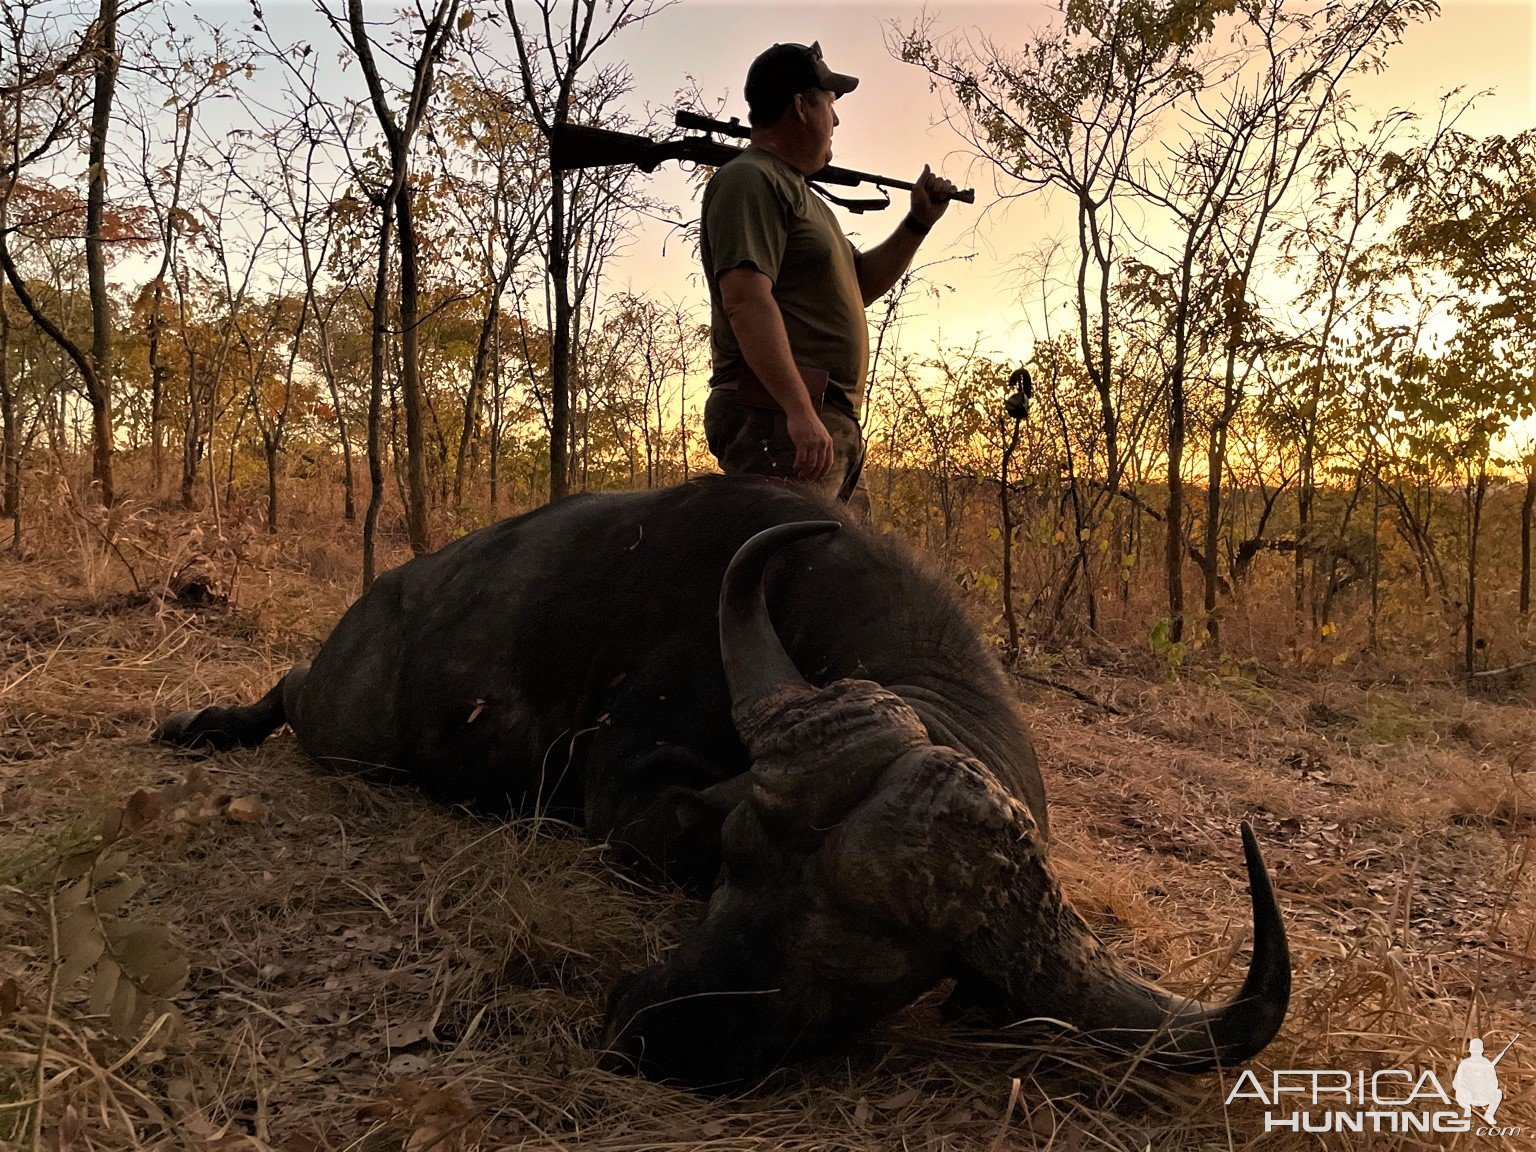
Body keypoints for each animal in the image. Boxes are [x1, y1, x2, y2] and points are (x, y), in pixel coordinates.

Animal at [155, 476, 1284, 1093]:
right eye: (734, 861)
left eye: (871, 962)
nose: (645, 1026)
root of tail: (380, 598)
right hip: (345, 727)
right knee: (288, 692)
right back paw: (200, 725)